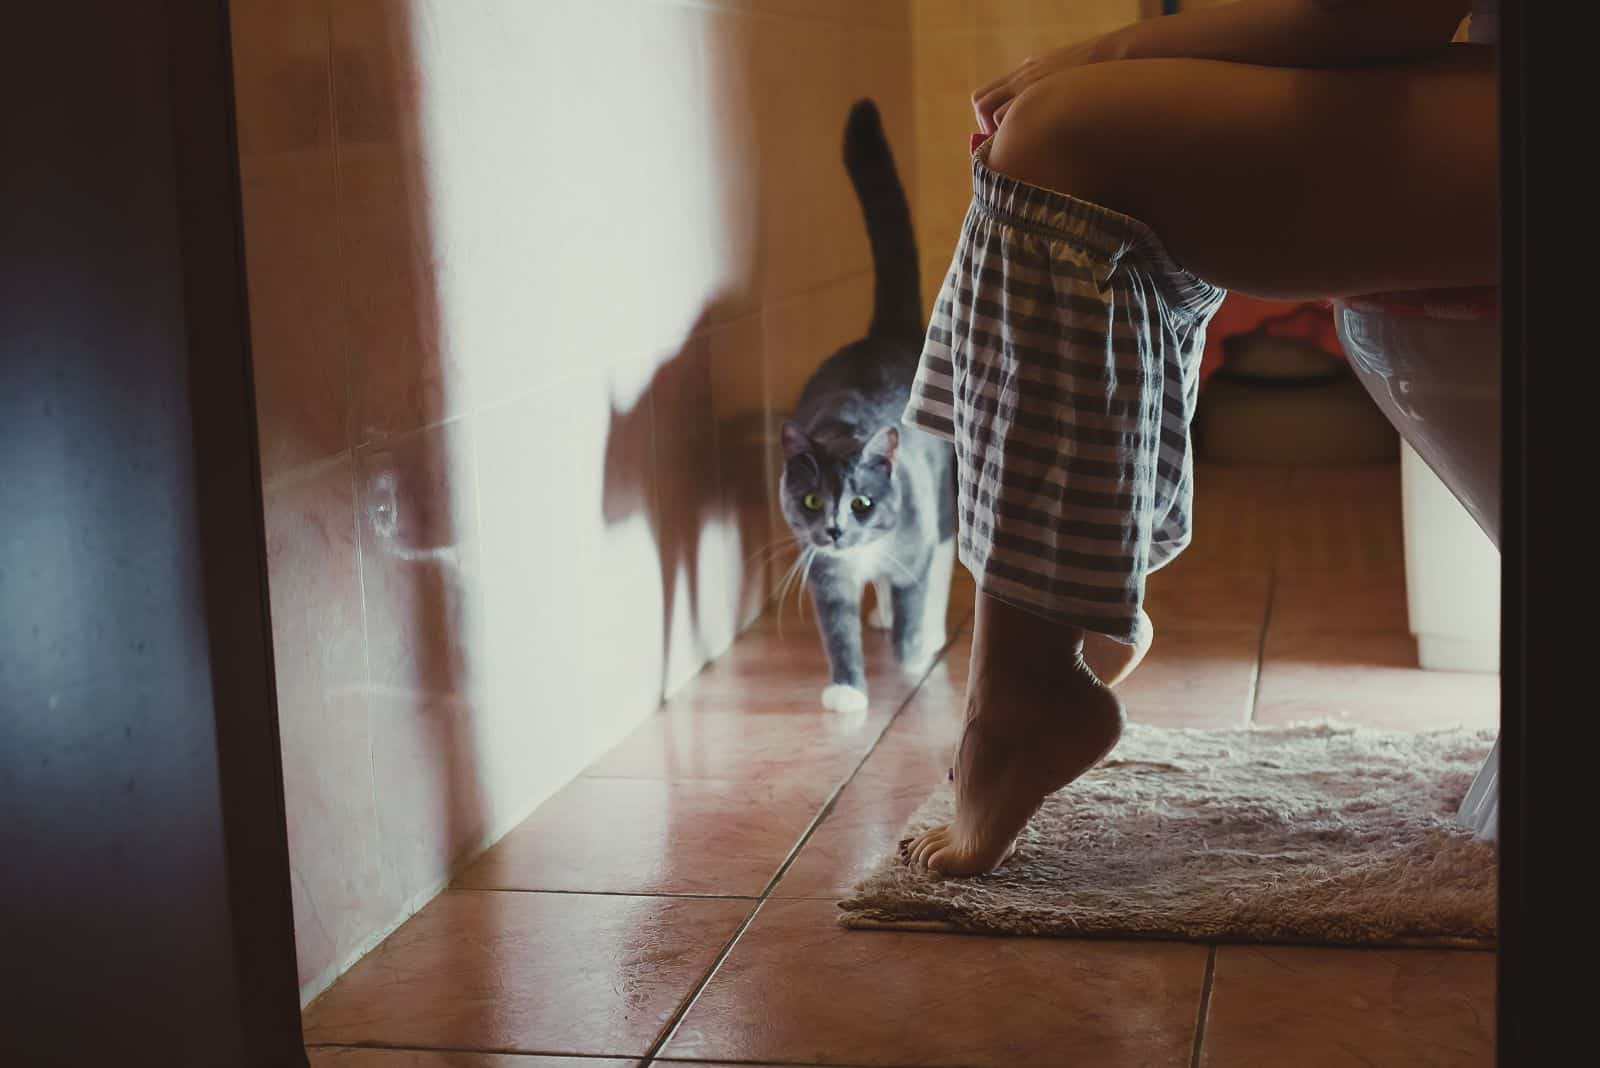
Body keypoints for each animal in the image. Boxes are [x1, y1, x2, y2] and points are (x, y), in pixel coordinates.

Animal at [780, 97, 953, 709]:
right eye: (811, 502)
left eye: (861, 503)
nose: (834, 530)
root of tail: (888, 334)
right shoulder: (824, 574)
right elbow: (837, 631)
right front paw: (847, 692)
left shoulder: (914, 548)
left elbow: (915, 597)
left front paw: (912, 657)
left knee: (943, 561)